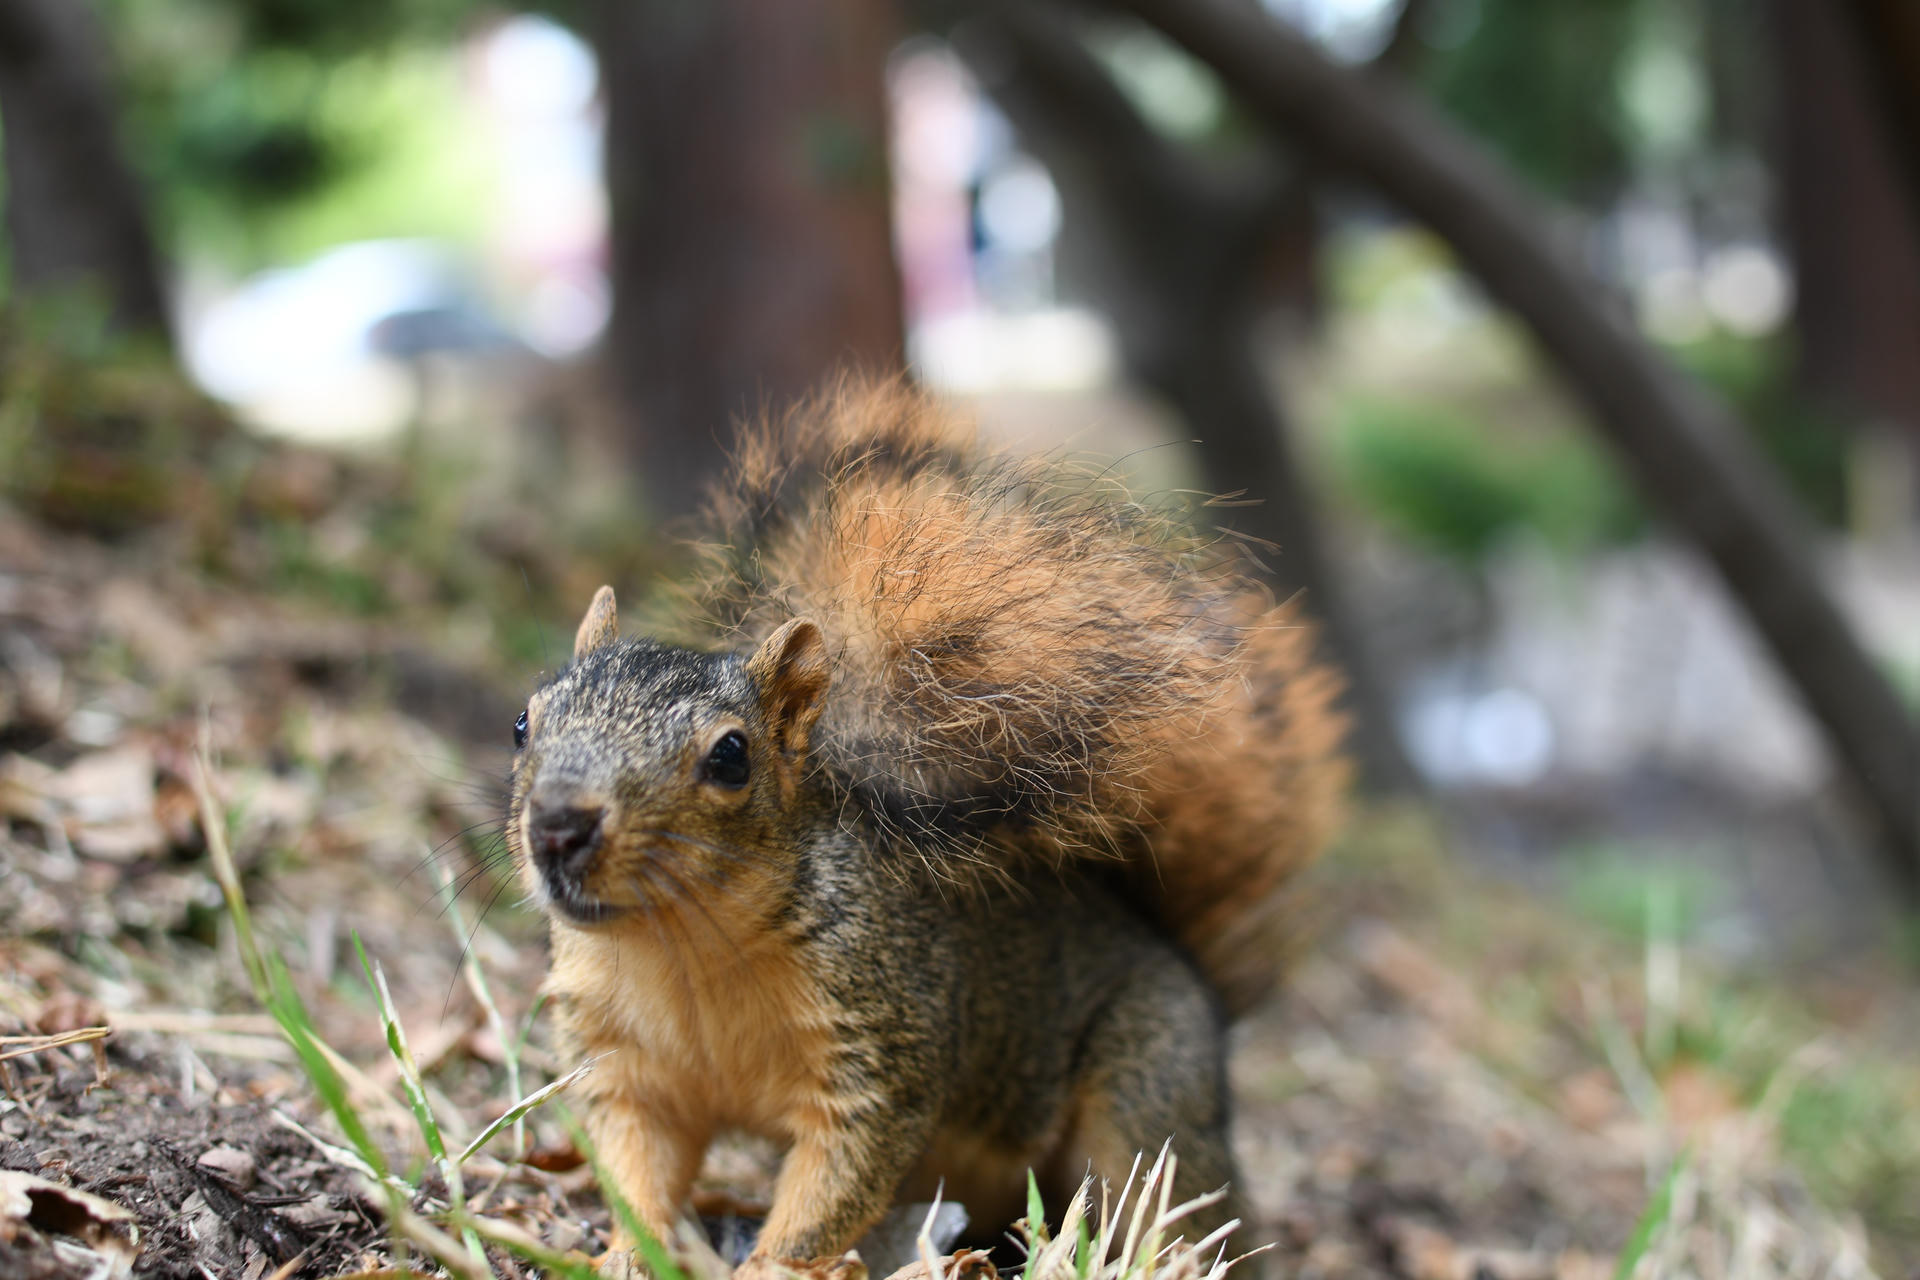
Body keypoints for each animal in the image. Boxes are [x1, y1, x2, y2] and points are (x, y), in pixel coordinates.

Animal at [507, 377, 1349, 1273]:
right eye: (523, 723)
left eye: (731, 757)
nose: (557, 827)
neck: (682, 950)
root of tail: (1191, 974)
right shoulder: (625, 1066)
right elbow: (634, 1166)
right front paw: (625, 1253)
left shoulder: (880, 1050)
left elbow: (834, 1185)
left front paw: (772, 1263)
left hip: (1148, 1089)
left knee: (1181, 1202)